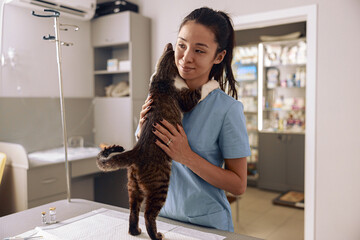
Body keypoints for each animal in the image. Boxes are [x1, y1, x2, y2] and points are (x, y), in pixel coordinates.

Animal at [95, 43, 202, 240]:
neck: (162, 76)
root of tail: (136, 151)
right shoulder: (185, 99)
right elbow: (199, 91)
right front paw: (213, 81)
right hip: (159, 186)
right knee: (148, 214)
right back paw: (156, 235)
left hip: (133, 186)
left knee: (133, 210)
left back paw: (135, 231)